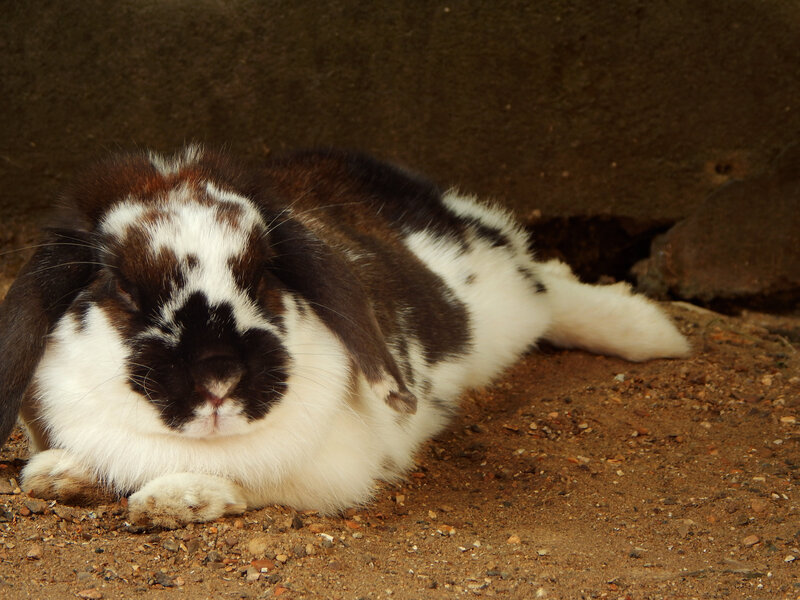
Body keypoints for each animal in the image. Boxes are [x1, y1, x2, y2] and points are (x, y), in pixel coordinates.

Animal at [0, 146, 690, 527]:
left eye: (264, 273)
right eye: (121, 286)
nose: (220, 376)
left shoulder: (332, 467)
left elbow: (250, 482)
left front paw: (172, 500)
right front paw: (59, 475)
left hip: (506, 291)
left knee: (551, 283)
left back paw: (650, 333)